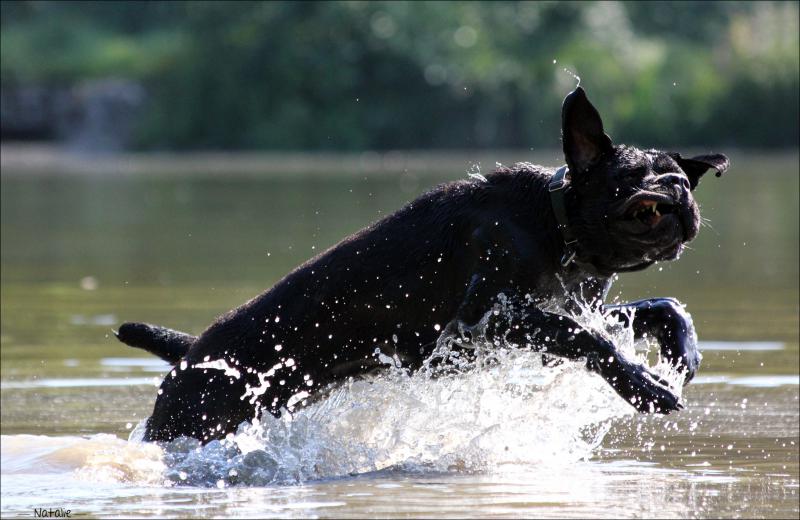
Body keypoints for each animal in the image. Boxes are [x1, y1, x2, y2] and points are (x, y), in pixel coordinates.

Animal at [117, 88, 724, 442]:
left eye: (679, 176)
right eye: (633, 175)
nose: (677, 190)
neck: (557, 228)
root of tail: (191, 352)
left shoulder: (568, 308)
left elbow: (654, 307)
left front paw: (682, 347)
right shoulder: (485, 323)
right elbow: (588, 338)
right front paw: (643, 383)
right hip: (188, 422)